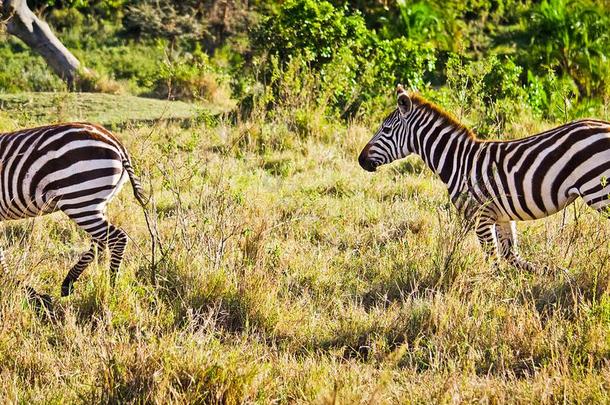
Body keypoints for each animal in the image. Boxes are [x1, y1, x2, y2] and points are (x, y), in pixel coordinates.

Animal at [0, 121, 145, 296]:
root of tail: (116, 142)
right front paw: (15, 284)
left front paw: (14, 284)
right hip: (96, 202)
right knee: (100, 241)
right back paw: (69, 281)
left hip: (79, 200)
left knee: (117, 239)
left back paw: (111, 289)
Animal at [356, 83, 608, 270]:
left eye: (386, 130)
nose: (360, 160)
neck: (458, 162)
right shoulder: (502, 217)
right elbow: (512, 257)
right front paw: (551, 274)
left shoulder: (481, 216)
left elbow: (494, 263)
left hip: (598, 191)